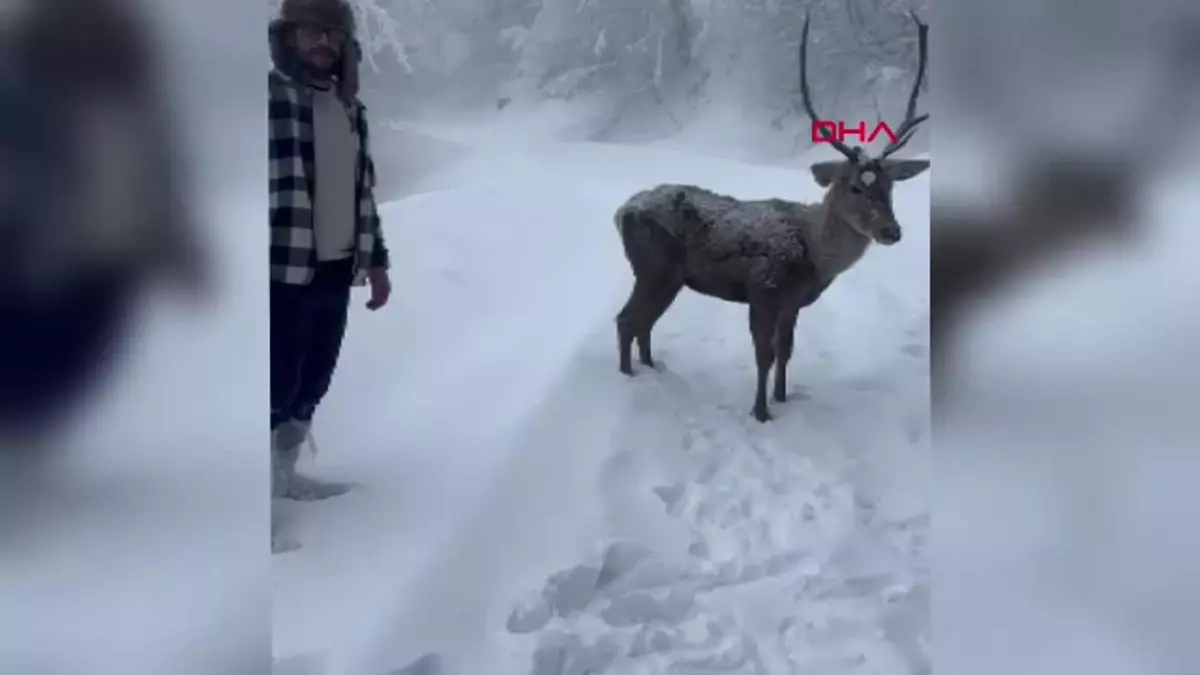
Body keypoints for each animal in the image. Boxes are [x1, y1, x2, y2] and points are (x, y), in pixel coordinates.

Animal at [614, 11, 931, 420]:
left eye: (890, 186)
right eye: (853, 186)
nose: (891, 231)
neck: (812, 256)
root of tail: (622, 211)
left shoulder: (793, 303)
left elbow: (786, 351)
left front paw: (782, 398)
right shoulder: (762, 290)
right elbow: (763, 355)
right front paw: (760, 412)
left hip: (669, 277)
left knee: (644, 322)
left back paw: (654, 369)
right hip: (653, 267)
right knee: (627, 319)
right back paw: (629, 377)